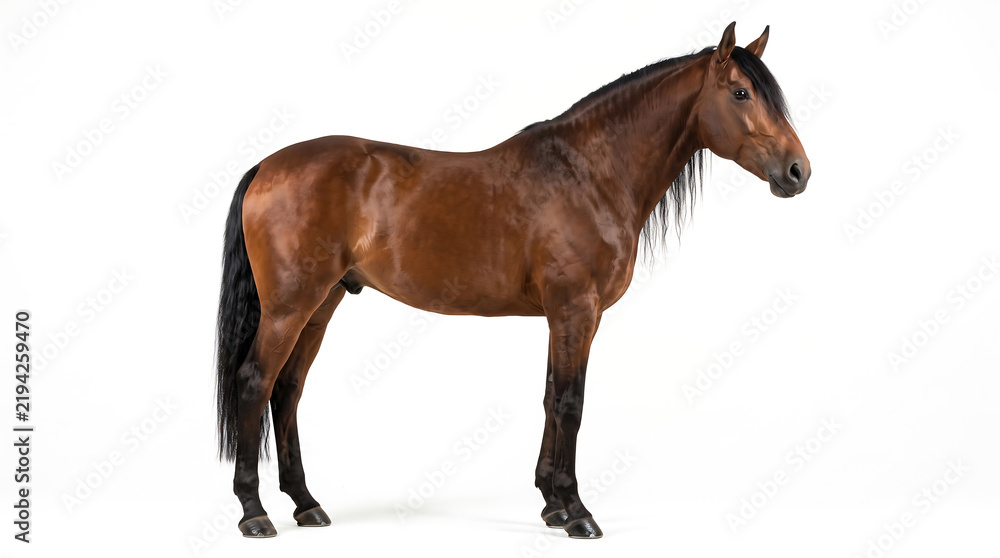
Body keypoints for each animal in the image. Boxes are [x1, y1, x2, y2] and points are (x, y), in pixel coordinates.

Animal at [215, 22, 810, 539]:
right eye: (740, 93)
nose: (798, 171)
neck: (589, 173)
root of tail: (267, 166)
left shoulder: (566, 317)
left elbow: (550, 397)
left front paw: (551, 504)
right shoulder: (575, 309)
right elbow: (571, 403)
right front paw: (577, 512)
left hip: (322, 304)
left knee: (288, 390)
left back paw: (306, 504)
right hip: (290, 307)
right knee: (255, 382)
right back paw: (254, 513)